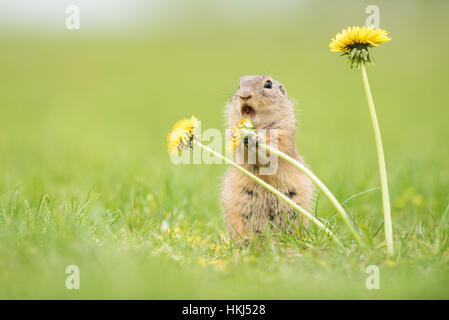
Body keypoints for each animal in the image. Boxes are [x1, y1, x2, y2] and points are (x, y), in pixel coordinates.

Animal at [220, 74, 312, 240]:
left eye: (268, 84)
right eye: (239, 86)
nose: (244, 95)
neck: (259, 125)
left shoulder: (283, 128)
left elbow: (277, 143)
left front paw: (259, 138)